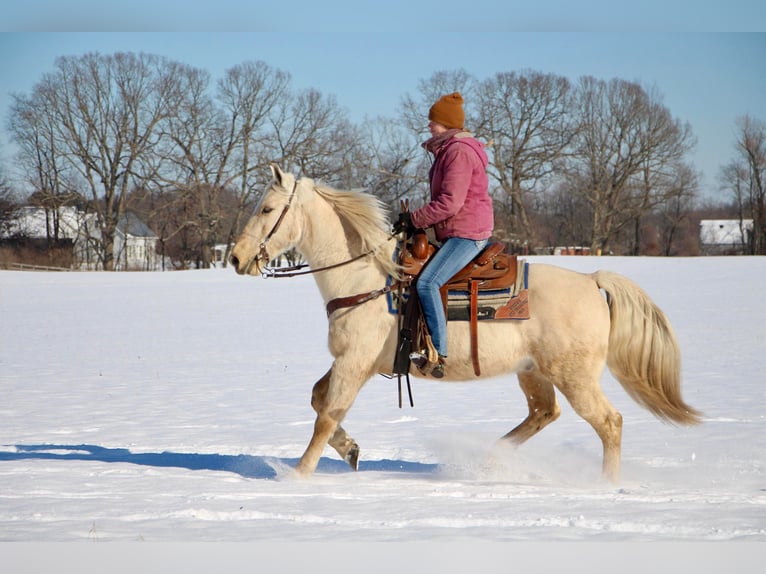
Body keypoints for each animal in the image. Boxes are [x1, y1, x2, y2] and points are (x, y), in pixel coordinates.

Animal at [228, 164, 704, 484]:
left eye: (267, 208)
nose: (235, 257)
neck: (367, 278)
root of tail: (592, 280)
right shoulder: (352, 361)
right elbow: (317, 398)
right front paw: (351, 451)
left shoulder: (355, 361)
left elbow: (326, 414)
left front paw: (297, 475)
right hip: (534, 373)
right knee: (544, 413)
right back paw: (491, 460)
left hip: (576, 377)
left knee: (608, 422)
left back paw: (605, 486)